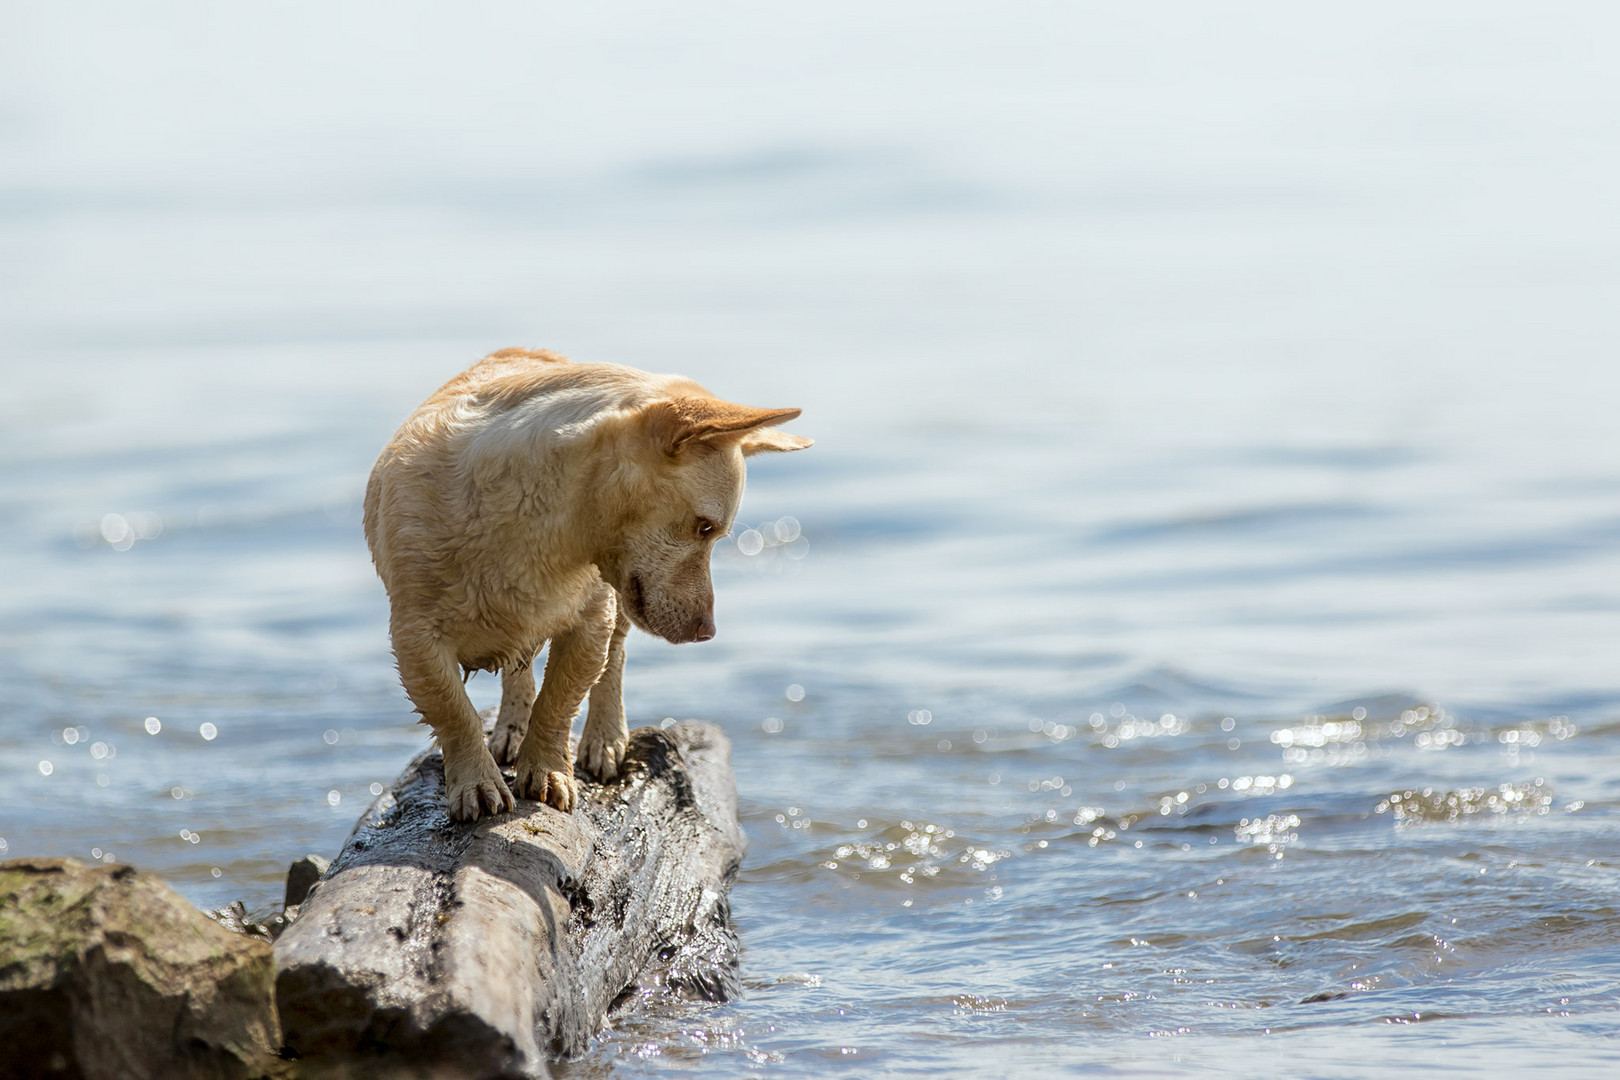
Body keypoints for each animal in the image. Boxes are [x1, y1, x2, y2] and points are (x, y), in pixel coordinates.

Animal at [364, 352, 810, 819]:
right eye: (705, 527)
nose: (707, 631)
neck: (543, 524)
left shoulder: (591, 623)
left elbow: (559, 701)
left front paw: (547, 772)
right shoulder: (415, 640)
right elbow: (454, 712)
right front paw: (478, 784)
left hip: (616, 604)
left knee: (613, 658)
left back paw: (604, 739)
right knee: (518, 669)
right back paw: (510, 730)